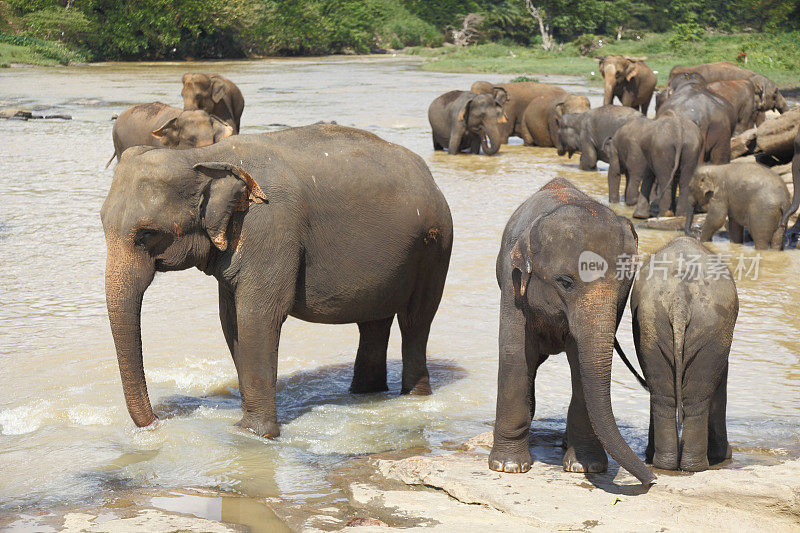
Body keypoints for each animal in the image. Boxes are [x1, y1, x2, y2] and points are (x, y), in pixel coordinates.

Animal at [101, 123, 454, 436]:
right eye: (102, 224)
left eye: (147, 234)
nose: (158, 420)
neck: (202, 156)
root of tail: (430, 177)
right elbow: (231, 321)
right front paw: (248, 427)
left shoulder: (270, 228)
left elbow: (258, 316)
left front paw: (254, 435)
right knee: (373, 323)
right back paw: (366, 394)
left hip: (435, 248)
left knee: (416, 322)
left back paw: (414, 397)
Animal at [488, 177, 656, 484]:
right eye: (565, 282)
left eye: (625, 280)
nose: (652, 479)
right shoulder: (512, 283)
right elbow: (514, 354)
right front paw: (508, 466)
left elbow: (582, 365)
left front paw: (585, 467)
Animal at [632, 236, 736, 470]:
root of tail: (680, 300)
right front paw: (723, 456)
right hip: (709, 326)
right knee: (697, 399)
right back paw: (697, 465)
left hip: (654, 324)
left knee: (662, 395)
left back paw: (664, 463)